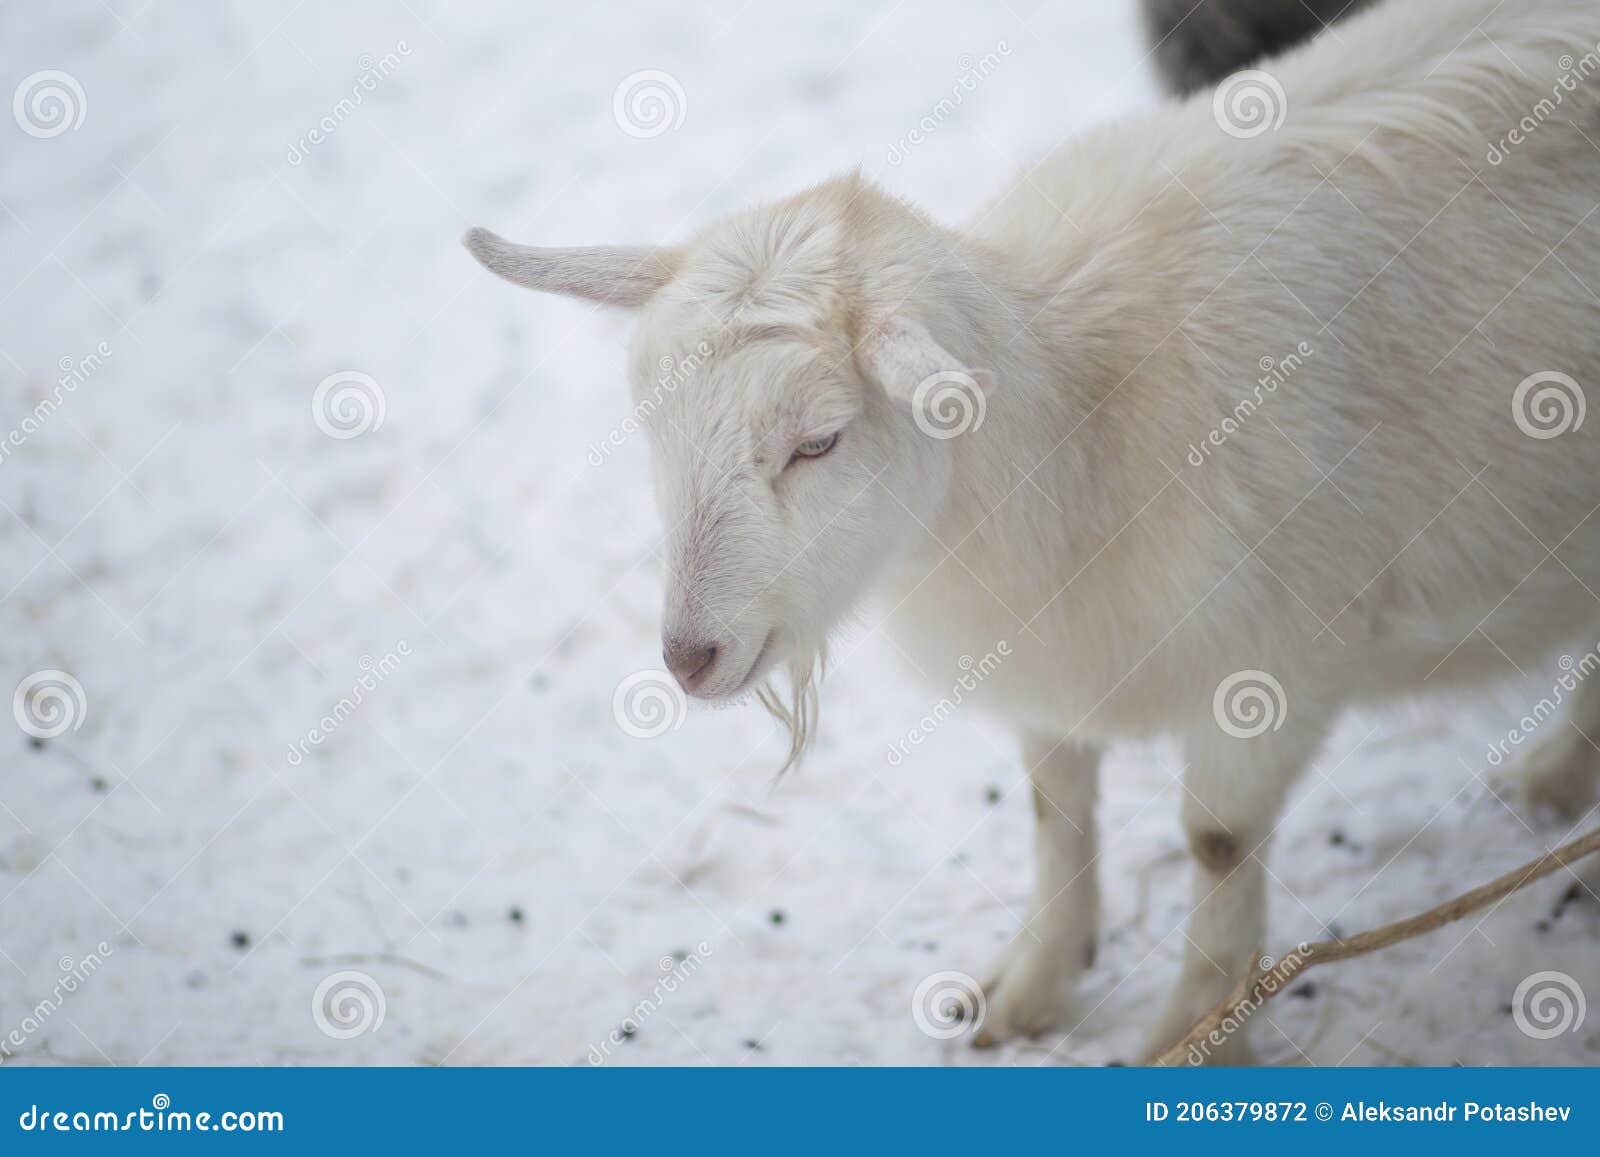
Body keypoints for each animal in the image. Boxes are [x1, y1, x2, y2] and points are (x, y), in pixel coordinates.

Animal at [466, 0, 1600, 1061]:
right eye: (650, 421)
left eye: (819, 441)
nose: (688, 656)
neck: (1088, 417)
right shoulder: (1054, 664)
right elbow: (1056, 811)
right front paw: (1028, 989)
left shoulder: (1283, 663)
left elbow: (1217, 840)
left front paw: (1191, 1037)